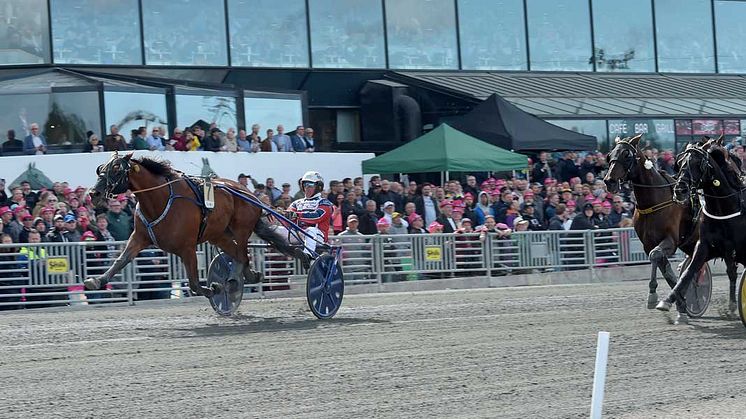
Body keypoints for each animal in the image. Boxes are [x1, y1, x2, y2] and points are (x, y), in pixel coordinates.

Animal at [85, 153, 306, 298]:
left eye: (116, 169)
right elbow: (121, 260)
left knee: (242, 255)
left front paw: (214, 288)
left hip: (241, 229)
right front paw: (96, 280)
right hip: (219, 235)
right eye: (101, 168)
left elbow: (192, 283)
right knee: (238, 255)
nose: (93, 193)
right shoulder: (139, 237)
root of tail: (249, 193)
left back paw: (236, 279)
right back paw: (247, 276)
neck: (160, 199)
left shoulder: (187, 247)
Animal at [600, 135, 700, 312]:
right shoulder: (648, 243)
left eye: (627, 155)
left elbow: (655, 255)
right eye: (609, 155)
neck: (654, 202)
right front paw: (679, 301)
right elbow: (660, 262)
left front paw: (653, 296)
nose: (609, 181)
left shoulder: (671, 241)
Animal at [652, 139, 740, 320]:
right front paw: (669, 301)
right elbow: (689, 271)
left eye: (697, 162)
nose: (680, 189)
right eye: (680, 163)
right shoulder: (705, 245)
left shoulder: (731, 247)